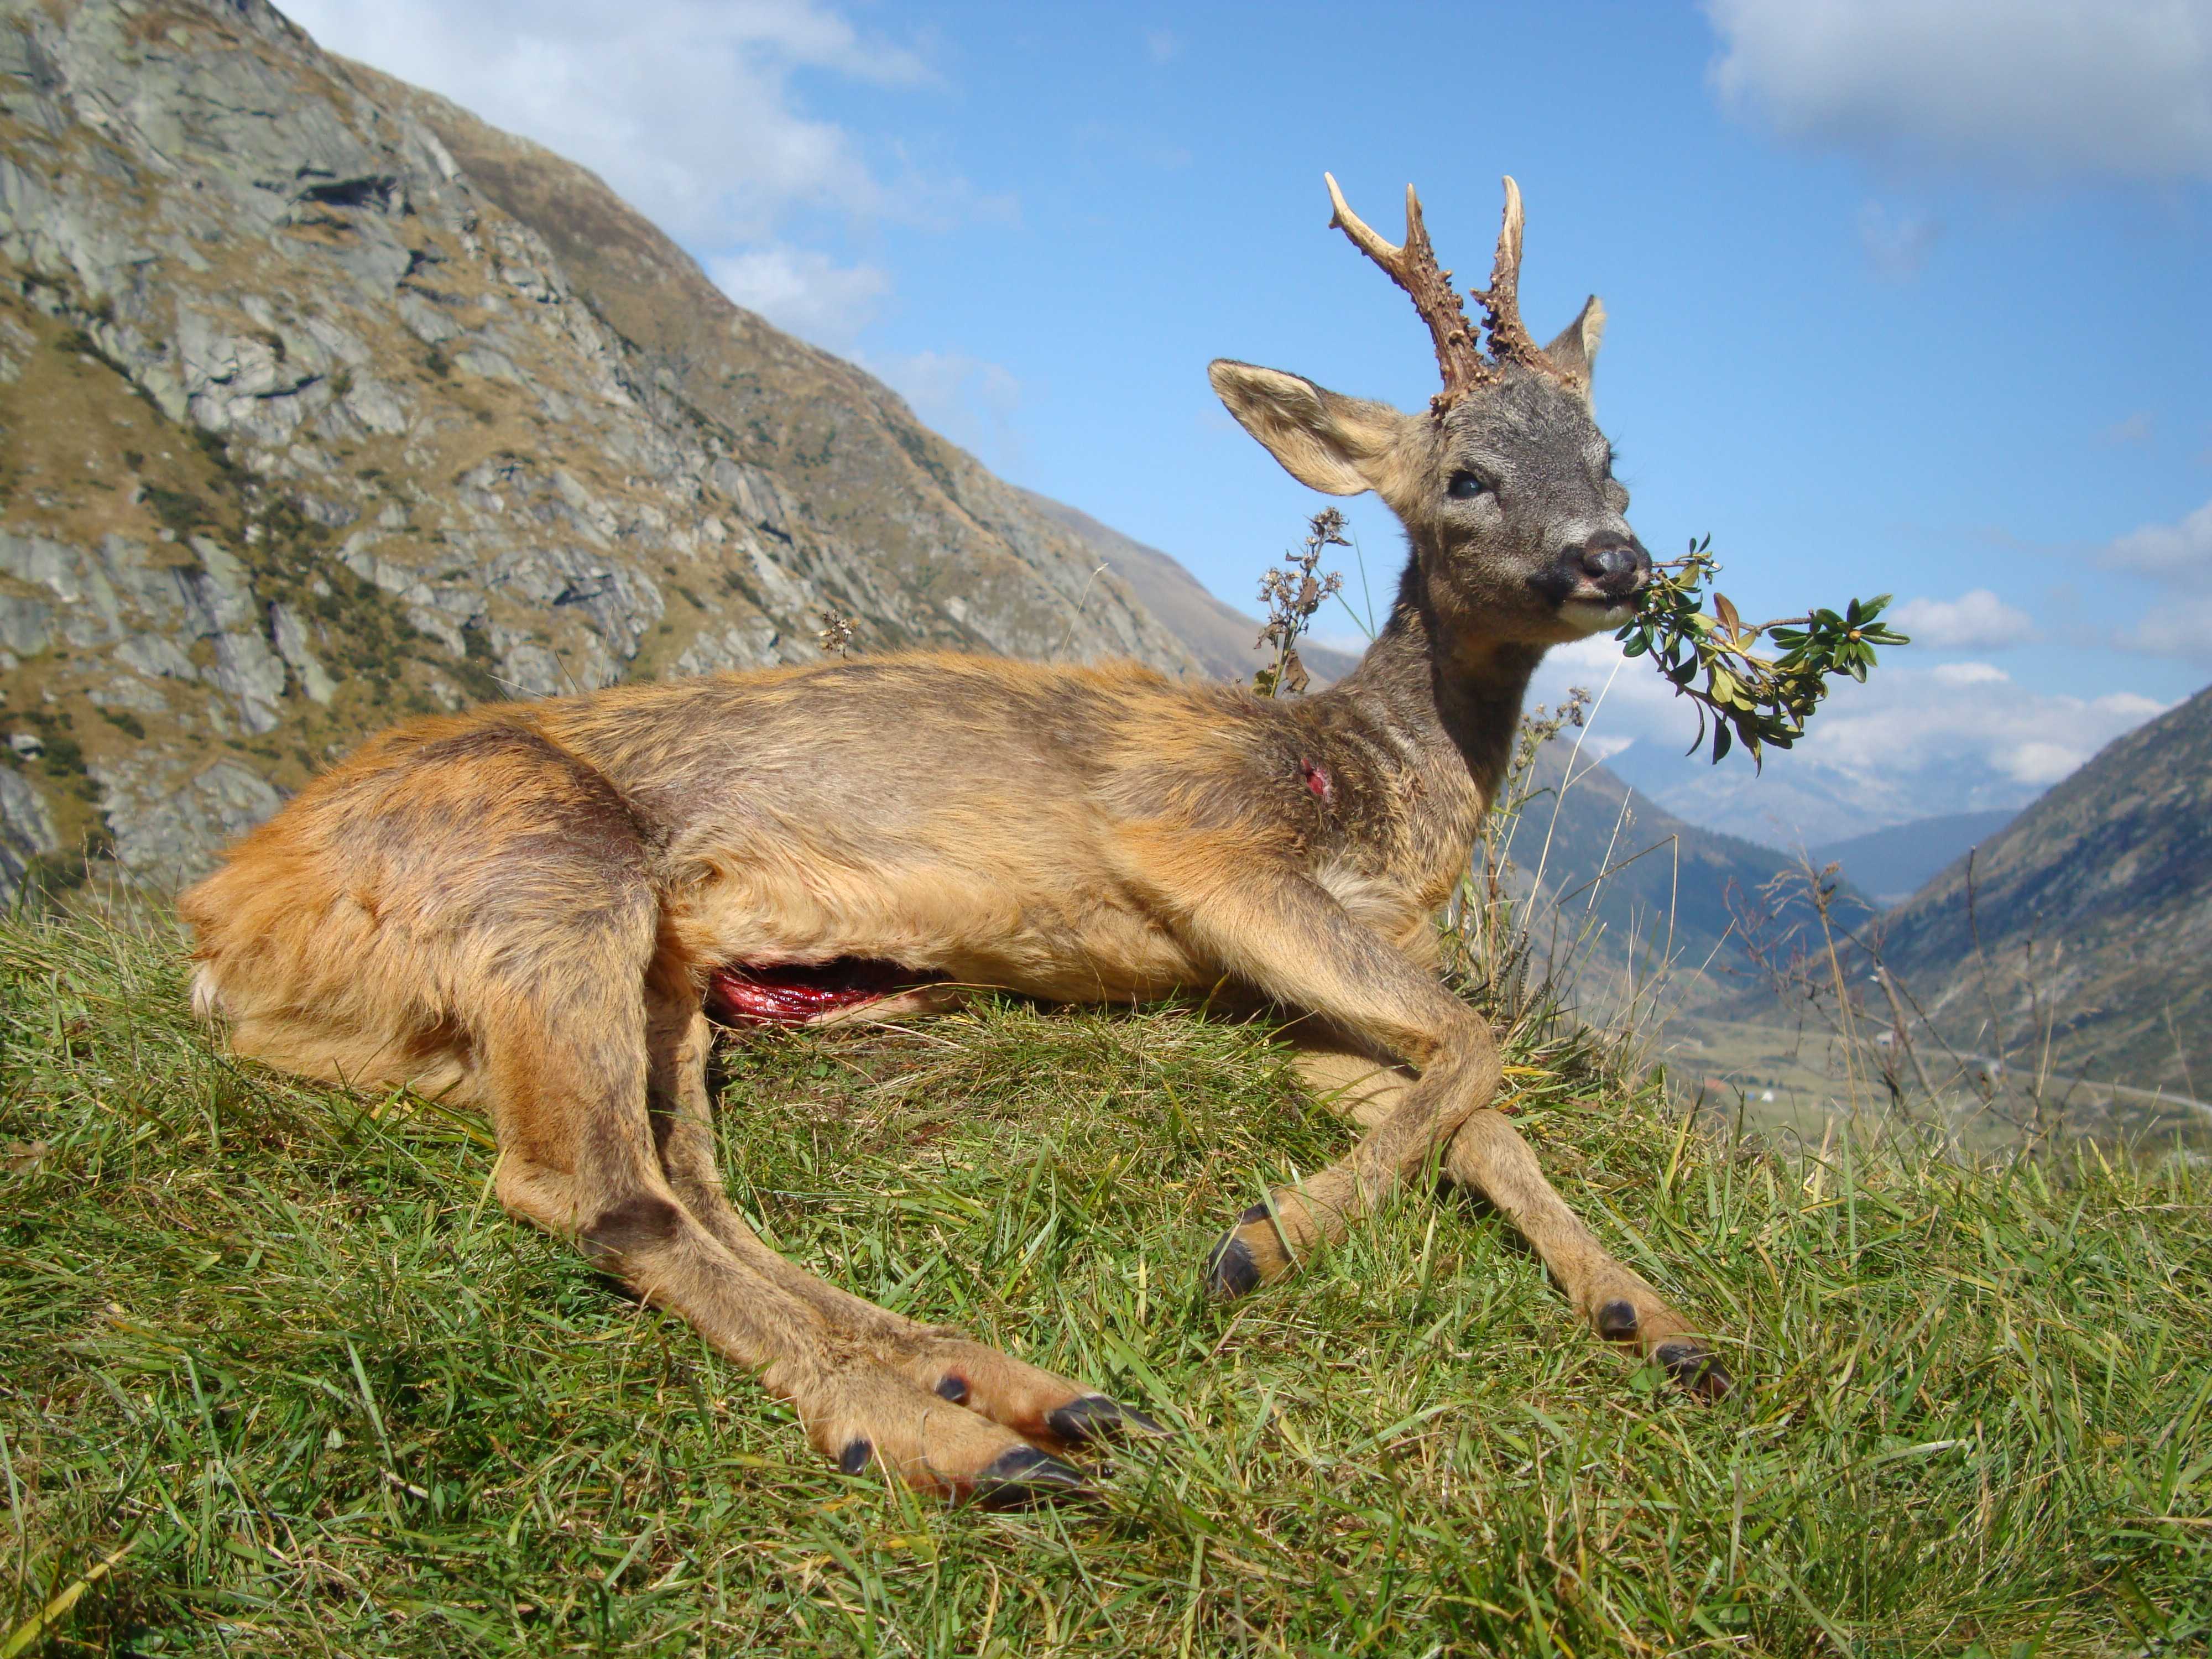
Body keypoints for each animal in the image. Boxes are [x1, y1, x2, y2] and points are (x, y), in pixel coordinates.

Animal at [186, 179, 1725, 1504]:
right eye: (1466, 475)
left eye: (1610, 459)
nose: (1616, 560)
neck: (1366, 786)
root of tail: (227, 920)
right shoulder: (1204, 849)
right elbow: (1477, 1042)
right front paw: (1255, 1244)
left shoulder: (1260, 986)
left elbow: (1477, 1110)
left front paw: (1656, 1317)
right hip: (545, 871)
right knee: (593, 1190)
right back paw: (944, 1438)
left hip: (652, 993)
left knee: (688, 1185)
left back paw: (1019, 1394)